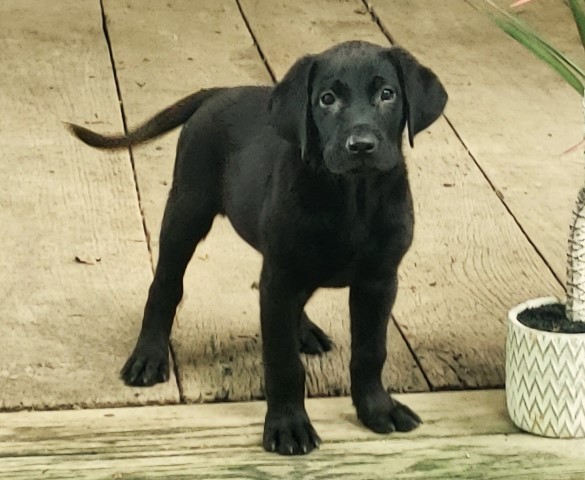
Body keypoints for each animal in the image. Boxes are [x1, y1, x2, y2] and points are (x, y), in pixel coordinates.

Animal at [68, 40, 444, 454]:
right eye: (327, 99)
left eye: (387, 94)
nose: (361, 146)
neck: (352, 198)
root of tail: (220, 92)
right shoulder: (281, 277)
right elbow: (282, 362)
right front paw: (288, 425)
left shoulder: (378, 281)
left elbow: (370, 352)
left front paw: (377, 409)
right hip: (187, 209)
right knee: (166, 285)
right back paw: (149, 355)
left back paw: (304, 329)